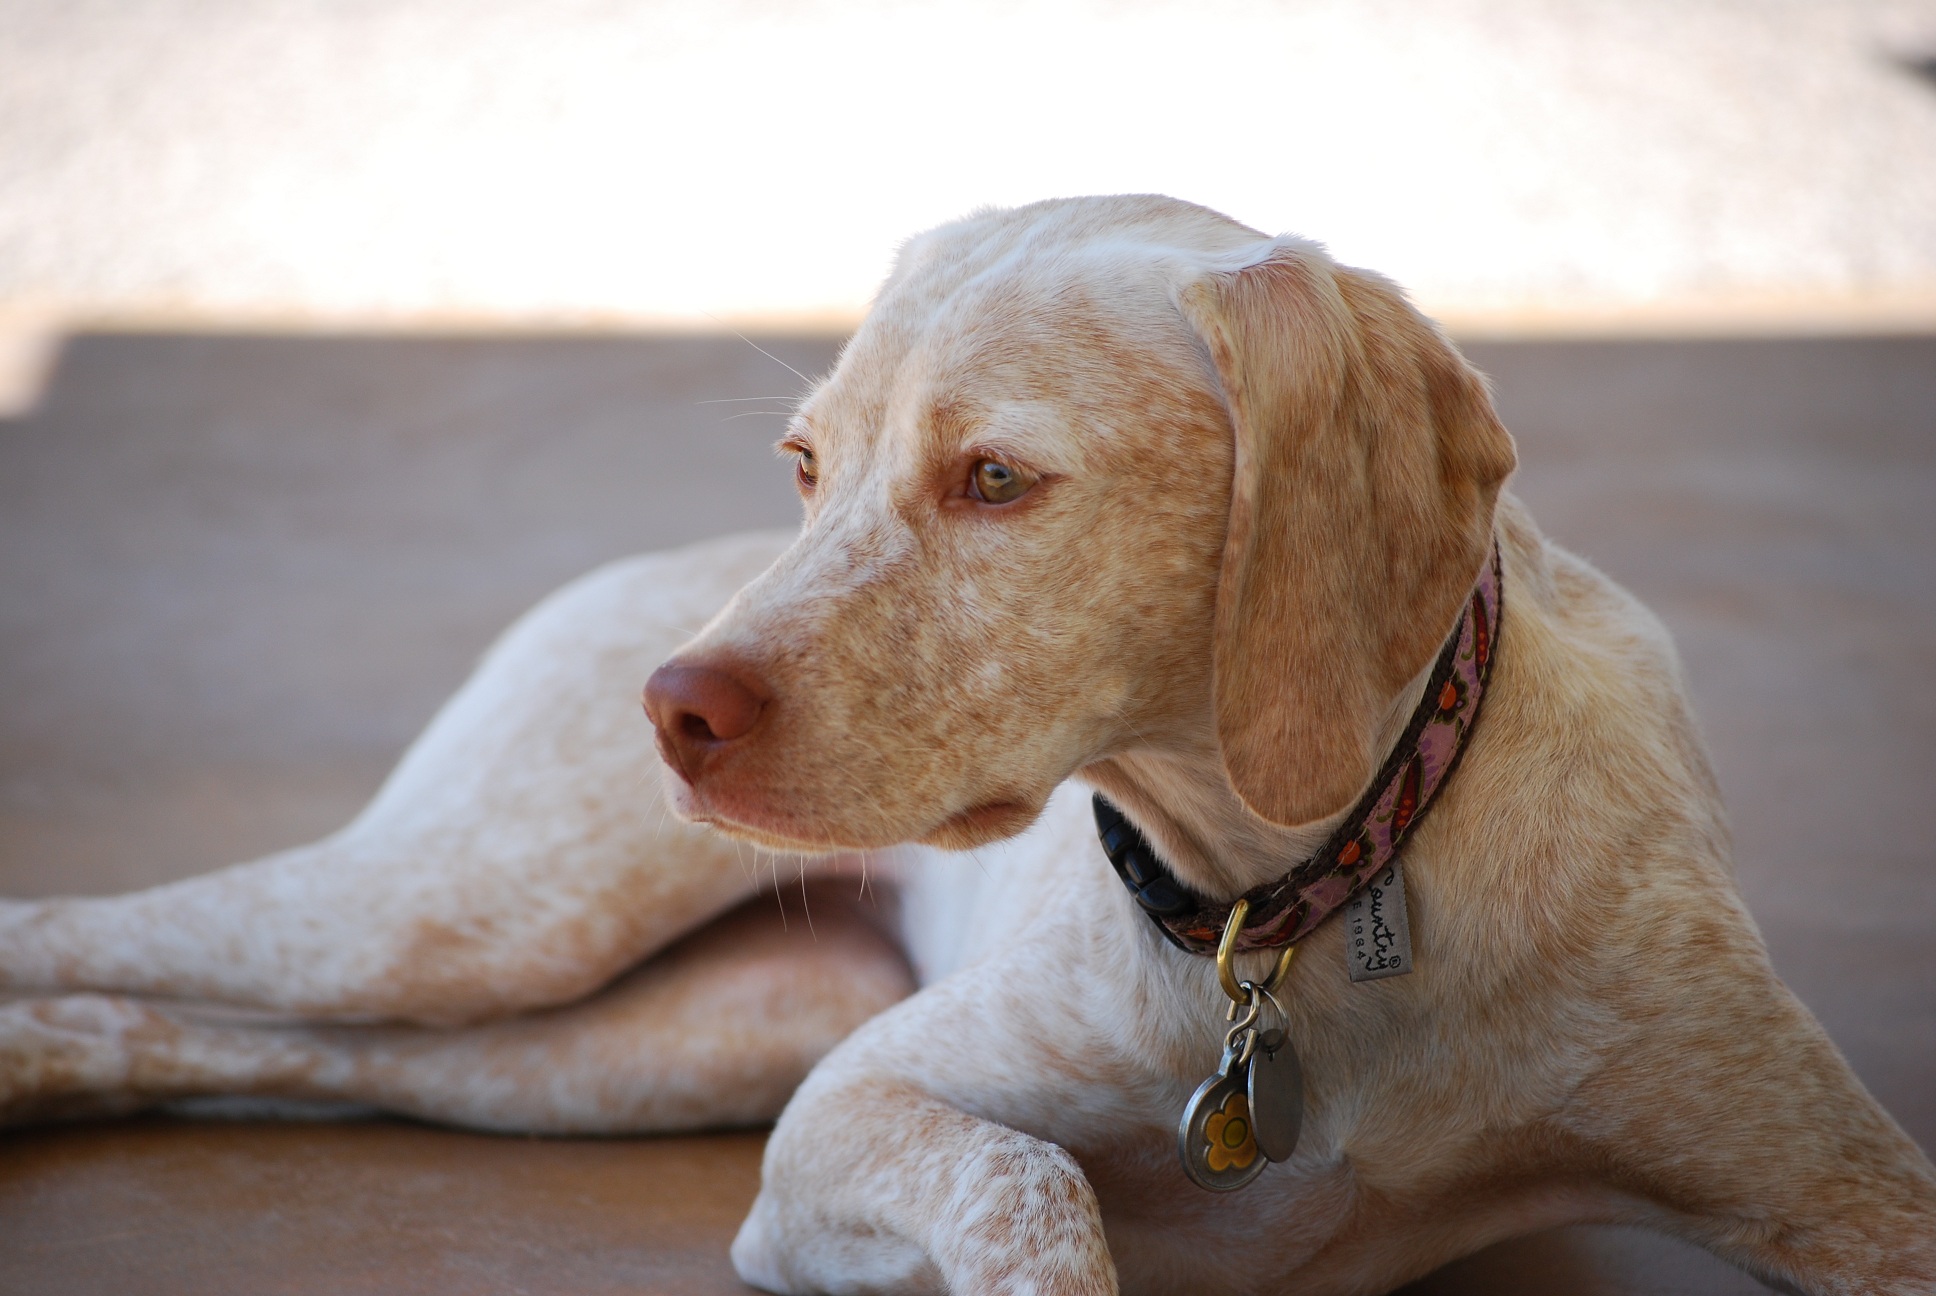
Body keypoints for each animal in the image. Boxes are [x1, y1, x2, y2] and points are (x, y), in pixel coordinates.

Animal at [3, 195, 1932, 1294]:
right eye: (804, 464)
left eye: (995, 478)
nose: (673, 708)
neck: (1296, 904)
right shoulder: (844, 1124)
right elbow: (1032, 1185)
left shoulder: (1846, 1192)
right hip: (476, 919)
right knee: (95, 938)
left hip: (636, 1043)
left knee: (232, 1043)